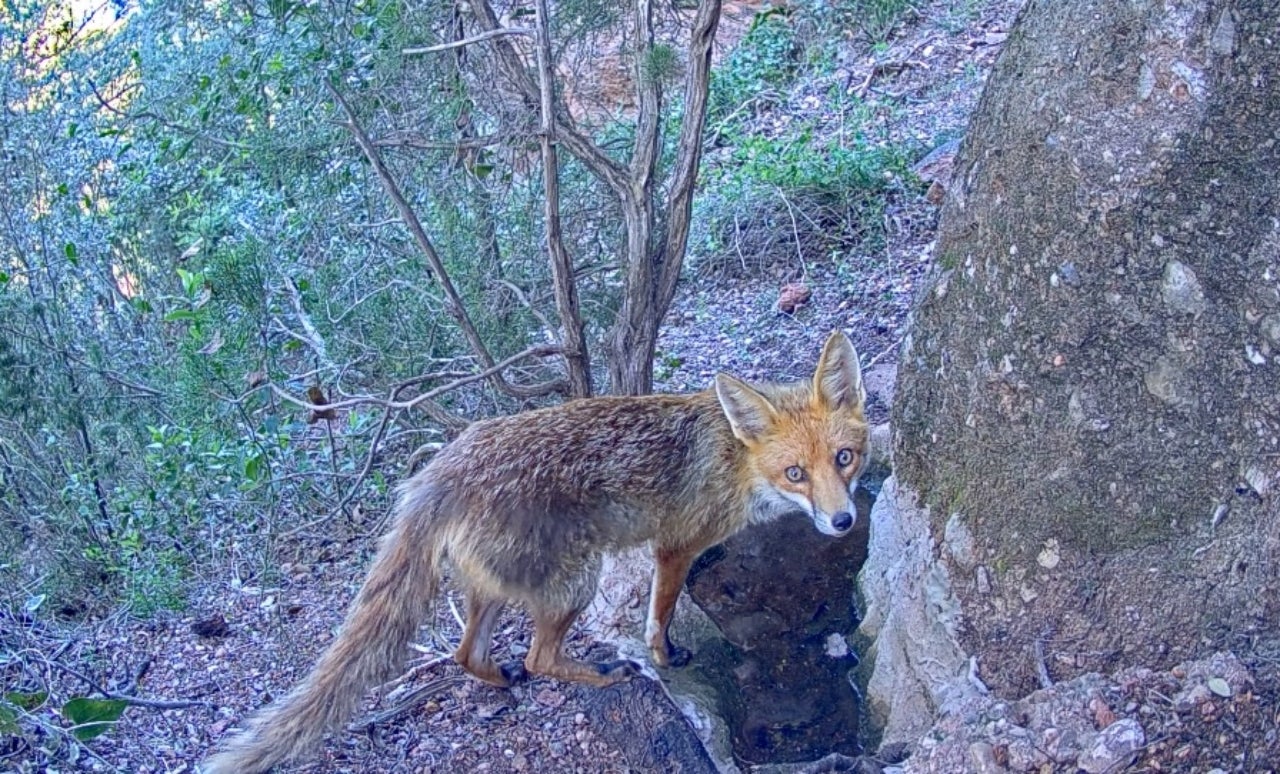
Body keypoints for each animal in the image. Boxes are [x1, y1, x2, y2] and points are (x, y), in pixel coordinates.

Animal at [202, 330, 869, 773]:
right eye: (795, 473)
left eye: (845, 459)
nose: (843, 521)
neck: (734, 460)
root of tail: (444, 466)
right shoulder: (676, 545)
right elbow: (660, 614)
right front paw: (665, 654)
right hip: (577, 581)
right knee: (542, 655)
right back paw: (605, 673)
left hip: (496, 590)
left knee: (465, 654)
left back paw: (502, 678)